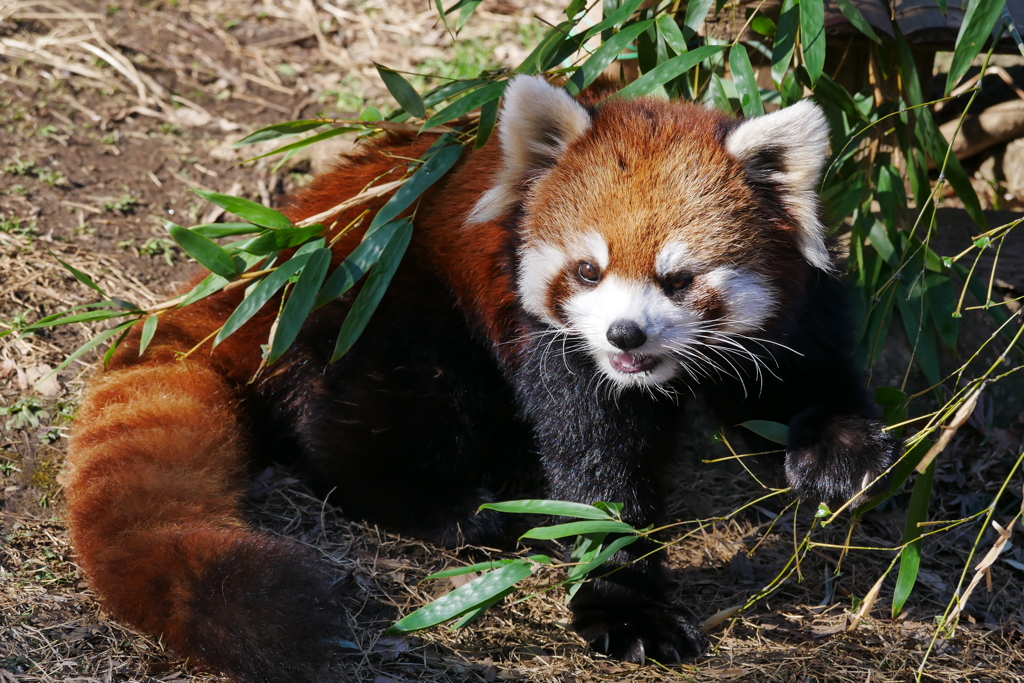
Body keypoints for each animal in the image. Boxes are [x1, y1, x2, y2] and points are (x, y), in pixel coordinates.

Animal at [61, 77, 897, 683]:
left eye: (679, 278)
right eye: (588, 271)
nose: (625, 335)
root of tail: (261, 268)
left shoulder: (789, 314)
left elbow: (800, 378)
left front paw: (838, 452)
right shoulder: (548, 340)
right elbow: (597, 474)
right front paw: (625, 603)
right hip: (384, 309)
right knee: (383, 422)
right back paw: (460, 511)